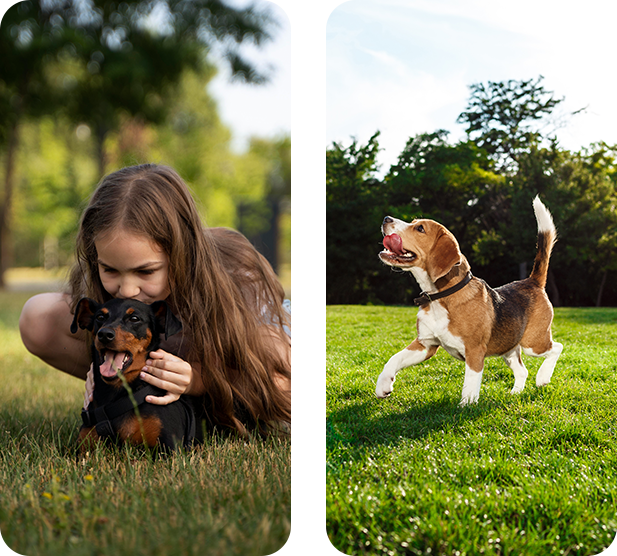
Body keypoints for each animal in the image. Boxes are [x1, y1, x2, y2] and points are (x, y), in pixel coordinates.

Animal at [376, 195, 564, 404]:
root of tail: (532, 281)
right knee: (522, 371)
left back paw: (543, 377)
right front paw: (383, 385)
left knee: (557, 347)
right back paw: (515, 393)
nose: (386, 218)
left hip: (534, 343)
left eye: (420, 229)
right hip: (509, 348)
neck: (441, 297)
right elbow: (393, 359)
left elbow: (470, 383)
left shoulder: (474, 351)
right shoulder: (425, 344)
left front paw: (466, 406)